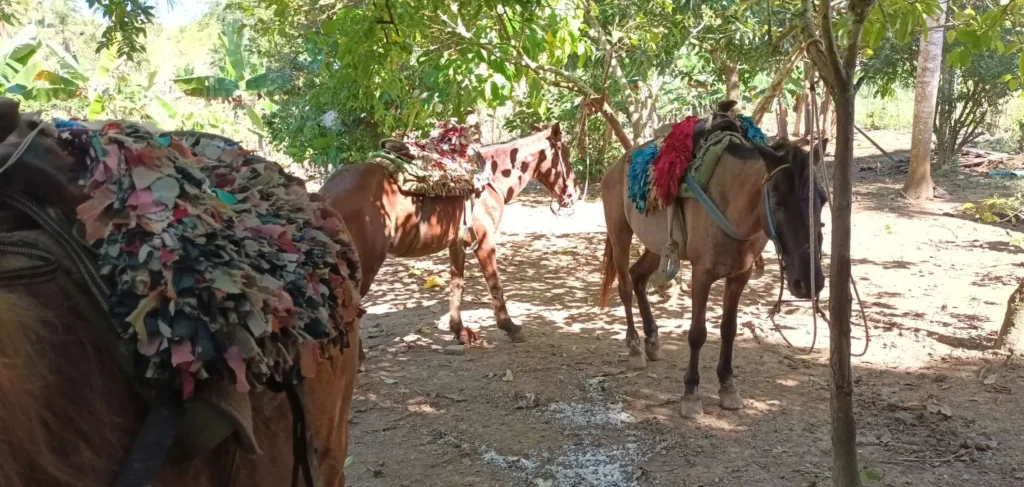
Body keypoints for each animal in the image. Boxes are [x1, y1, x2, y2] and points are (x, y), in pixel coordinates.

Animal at [319, 123, 577, 361]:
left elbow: (457, 285)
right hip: (365, 265)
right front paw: (510, 327)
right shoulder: (485, 242)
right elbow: (495, 284)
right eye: (566, 155)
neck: (490, 180)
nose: (573, 195)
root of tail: (324, 196)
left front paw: (459, 331)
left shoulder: (457, 244)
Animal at [598, 119, 827, 417]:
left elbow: (729, 329)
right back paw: (635, 347)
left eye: (822, 199)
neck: (733, 204)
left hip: (657, 246)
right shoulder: (702, 274)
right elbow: (697, 333)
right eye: (777, 201)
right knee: (625, 287)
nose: (809, 282)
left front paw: (728, 386)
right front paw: (691, 393)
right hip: (619, 234)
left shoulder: (741, 275)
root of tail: (614, 167)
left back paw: (652, 339)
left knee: (638, 278)